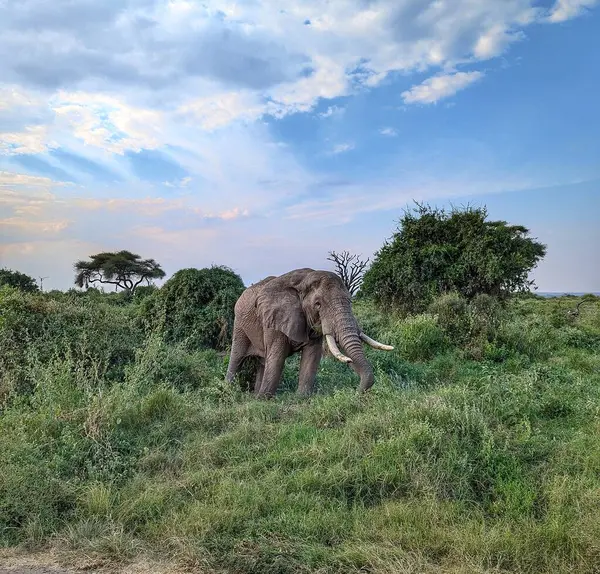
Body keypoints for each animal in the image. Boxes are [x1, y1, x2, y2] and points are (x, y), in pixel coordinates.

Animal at [226, 268, 394, 400]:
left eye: (350, 301)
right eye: (318, 304)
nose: (355, 393)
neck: (304, 280)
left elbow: (311, 356)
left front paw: (302, 398)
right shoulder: (273, 319)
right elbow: (277, 358)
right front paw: (265, 400)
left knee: (262, 362)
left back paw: (255, 396)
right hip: (239, 325)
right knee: (237, 358)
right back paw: (230, 392)